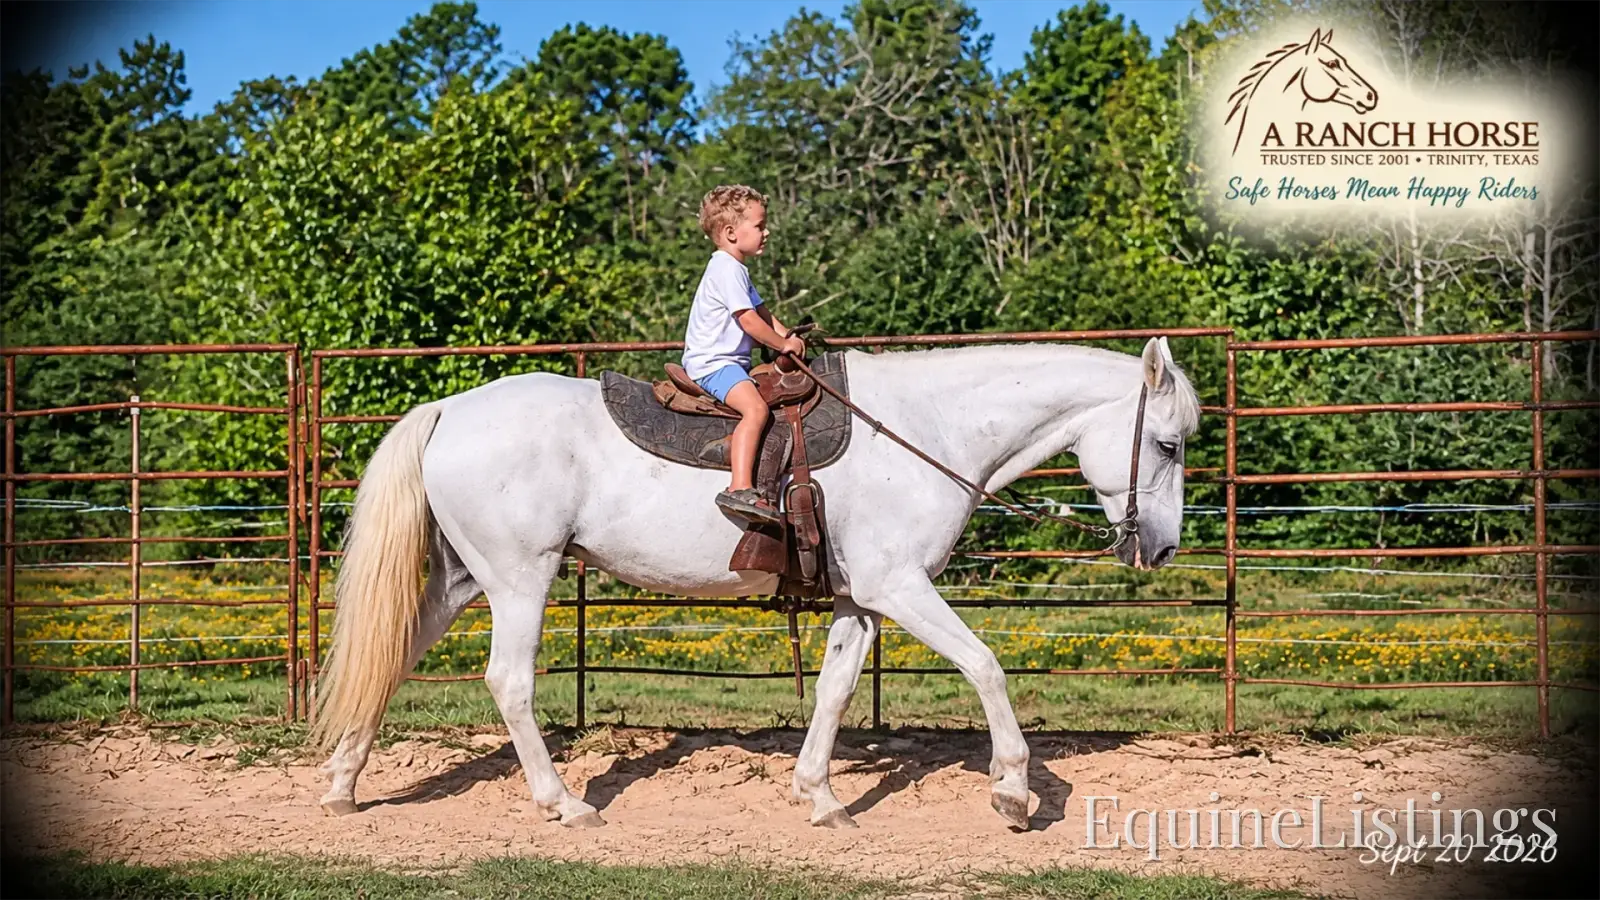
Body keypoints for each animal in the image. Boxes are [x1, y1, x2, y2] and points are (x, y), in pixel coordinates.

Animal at [310, 336, 1203, 831]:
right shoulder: (899, 586)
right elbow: (985, 666)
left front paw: (820, 796)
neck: (928, 431)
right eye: (1166, 444)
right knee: (510, 683)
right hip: (519, 580)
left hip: (461, 580)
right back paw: (564, 803)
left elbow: (835, 691)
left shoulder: (859, 600)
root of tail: (449, 410)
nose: (1161, 548)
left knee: (390, 659)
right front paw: (1014, 793)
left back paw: (345, 786)